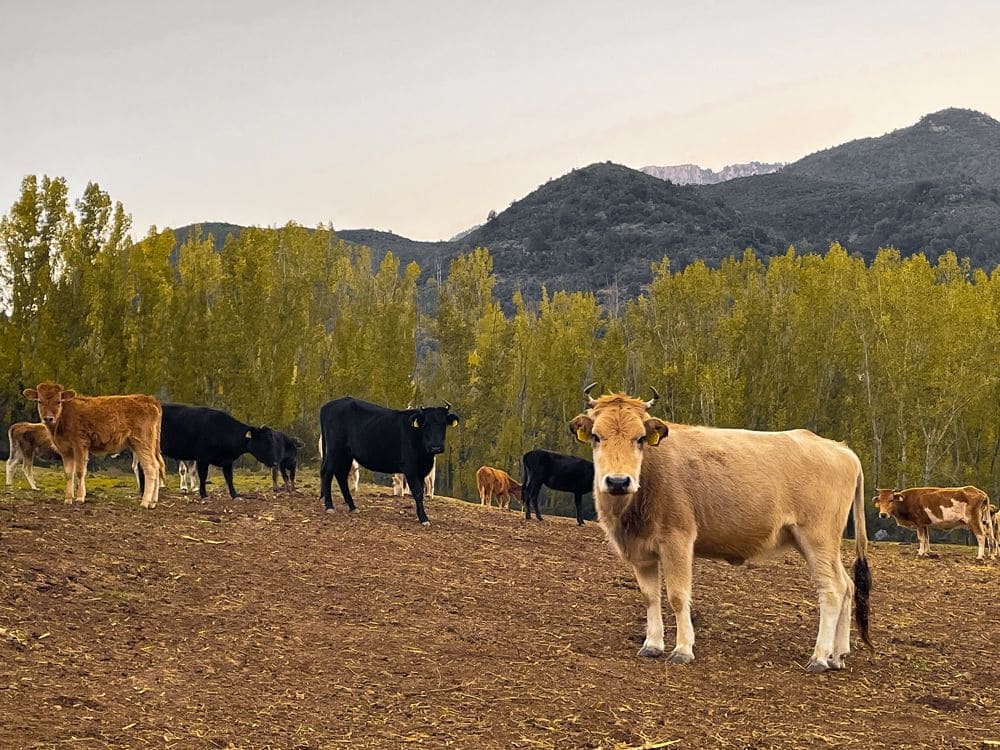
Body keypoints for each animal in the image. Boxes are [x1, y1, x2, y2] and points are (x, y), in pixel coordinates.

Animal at [24, 382, 166, 512]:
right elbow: (69, 473)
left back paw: (145, 502)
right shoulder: (66, 450)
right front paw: (68, 499)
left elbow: (80, 471)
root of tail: (148, 399)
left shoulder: (80, 445)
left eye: (58, 401)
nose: (48, 418)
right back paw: (153, 502)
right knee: (158, 466)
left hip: (142, 443)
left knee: (151, 468)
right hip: (150, 445)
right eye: (40, 401)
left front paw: (80, 497)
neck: (64, 415)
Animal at [135, 402, 278, 502]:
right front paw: (203, 494)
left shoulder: (227, 461)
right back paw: (143, 491)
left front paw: (235, 495)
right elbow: (203, 475)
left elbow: (229, 478)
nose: (275, 461)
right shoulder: (202, 458)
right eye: (264, 441)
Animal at [320, 400, 460, 528]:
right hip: (334, 450)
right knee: (327, 473)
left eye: (443, 424)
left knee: (341, 476)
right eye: (425, 424)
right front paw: (424, 519)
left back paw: (353, 507)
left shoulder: (421, 471)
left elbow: (420, 493)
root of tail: (328, 405)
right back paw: (329, 506)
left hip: (346, 454)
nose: (436, 447)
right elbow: (418, 492)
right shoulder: (410, 468)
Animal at [576, 384, 872, 672]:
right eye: (596, 437)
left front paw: (682, 649)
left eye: (639, 438)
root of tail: (842, 450)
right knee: (847, 585)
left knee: (832, 590)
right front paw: (652, 645)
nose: (618, 481)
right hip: (821, 545)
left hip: (817, 540)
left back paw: (820, 658)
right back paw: (838, 656)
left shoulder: (677, 542)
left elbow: (677, 596)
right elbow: (650, 597)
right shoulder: (642, 553)